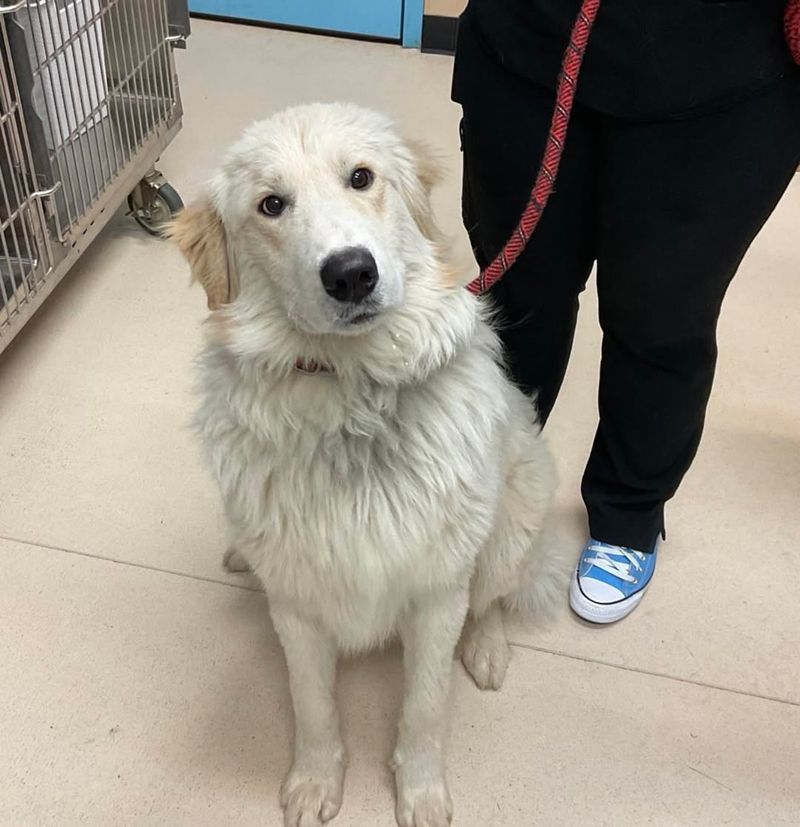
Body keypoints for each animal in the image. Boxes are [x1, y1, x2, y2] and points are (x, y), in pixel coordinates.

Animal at [171, 105, 564, 827]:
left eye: (361, 178)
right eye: (271, 205)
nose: (351, 273)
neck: (351, 395)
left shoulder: (438, 592)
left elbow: (425, 708)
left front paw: (422, 792)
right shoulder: (297, 603)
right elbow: (313, 706)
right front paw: (315, 782)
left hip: (511, 519)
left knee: (495, 595)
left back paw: (487, 648)